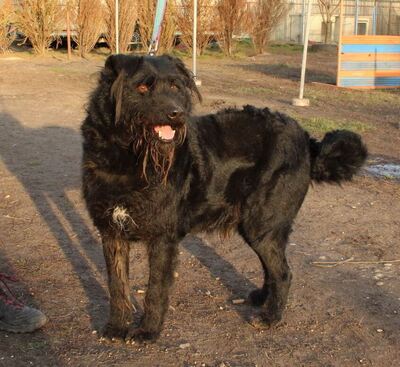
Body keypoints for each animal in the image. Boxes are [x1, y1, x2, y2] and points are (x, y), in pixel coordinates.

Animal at [82, 54, 368, 342]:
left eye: (175, 86)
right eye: (143, 87)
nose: (177, 113)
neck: (129, 158)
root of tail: (307, 139)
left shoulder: (163, 237)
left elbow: (155, 289)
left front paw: (148, 331)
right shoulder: (111, 232)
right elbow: (117, 285)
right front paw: (116, 327)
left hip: (262, 224)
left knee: (283, 272)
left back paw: (270, 317)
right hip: (255, 226)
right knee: (272, 267)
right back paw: (262, 298)